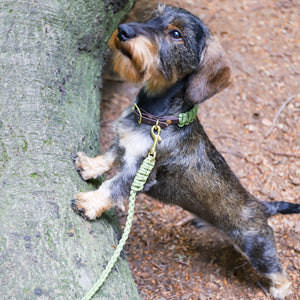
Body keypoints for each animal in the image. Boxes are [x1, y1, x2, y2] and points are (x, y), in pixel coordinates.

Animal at [72, 5, 298, 300]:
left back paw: (280, 289)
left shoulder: (140, 174)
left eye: (176, 34)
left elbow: (112, 186)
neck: (157, 118)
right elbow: (109, 157)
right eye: (154, 17)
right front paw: (89, 165)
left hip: (258, 248)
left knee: (277, 270)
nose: (123, 30)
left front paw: (89, 203)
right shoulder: (124, 145)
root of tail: (261, 206)